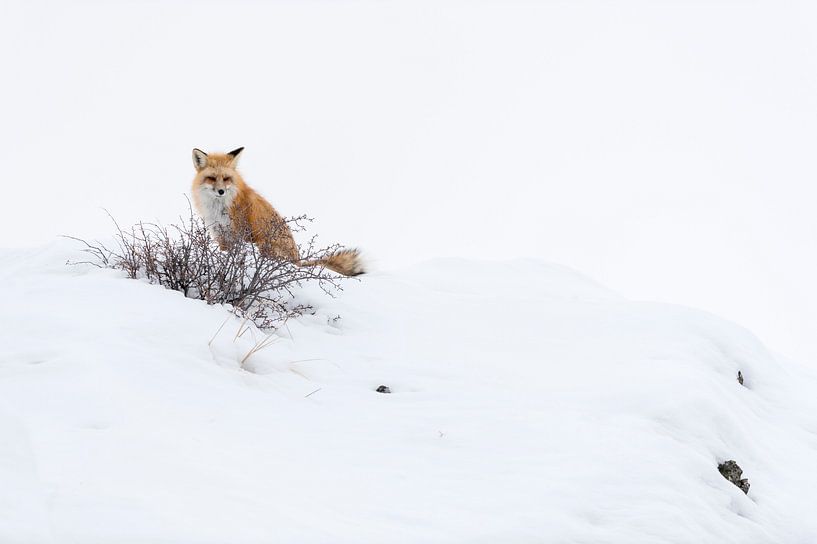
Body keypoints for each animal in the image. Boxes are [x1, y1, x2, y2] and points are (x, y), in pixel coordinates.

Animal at [190, 147, 364, 276]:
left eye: (226, 178)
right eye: (212, 178)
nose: (221, 191)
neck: (218, 208)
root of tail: (298, 262)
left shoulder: (239, 233)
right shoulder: (220, 235)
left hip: (263, 244)